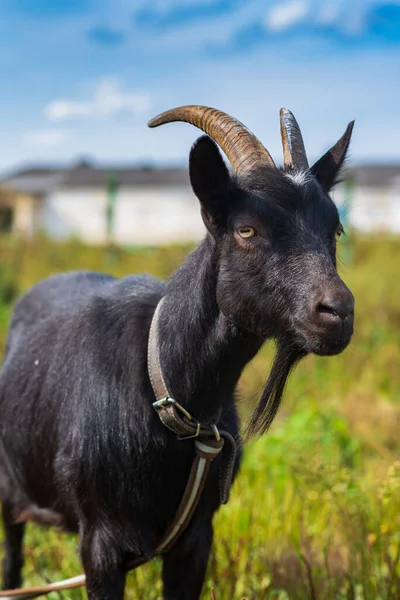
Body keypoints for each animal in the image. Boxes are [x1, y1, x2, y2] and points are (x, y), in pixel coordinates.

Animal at [0, 108, 354, 600]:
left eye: (334, 229)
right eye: (247, 229)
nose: (338, 312)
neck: (166, 388)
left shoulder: (196, 537)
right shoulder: (100, 540)